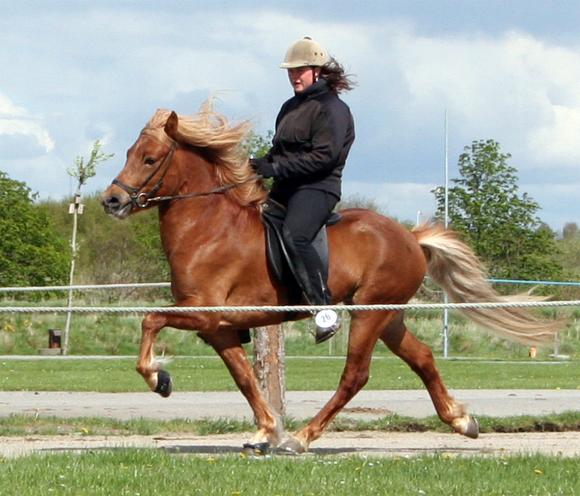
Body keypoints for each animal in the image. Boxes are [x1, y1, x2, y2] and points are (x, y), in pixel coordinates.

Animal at [102, 104, 560, 454]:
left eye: (149, 159)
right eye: (130, 152)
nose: (112, 200)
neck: (207, 228)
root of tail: (409, 237)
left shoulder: (206, 314)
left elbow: (150, 319)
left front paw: (159, 379)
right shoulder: (219, 328)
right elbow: (245, 378)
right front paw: (266, 430)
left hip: (368, 315)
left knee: (355, 375)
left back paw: (303, 438)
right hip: (388, 316)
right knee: (423, 358)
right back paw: (462, 421)